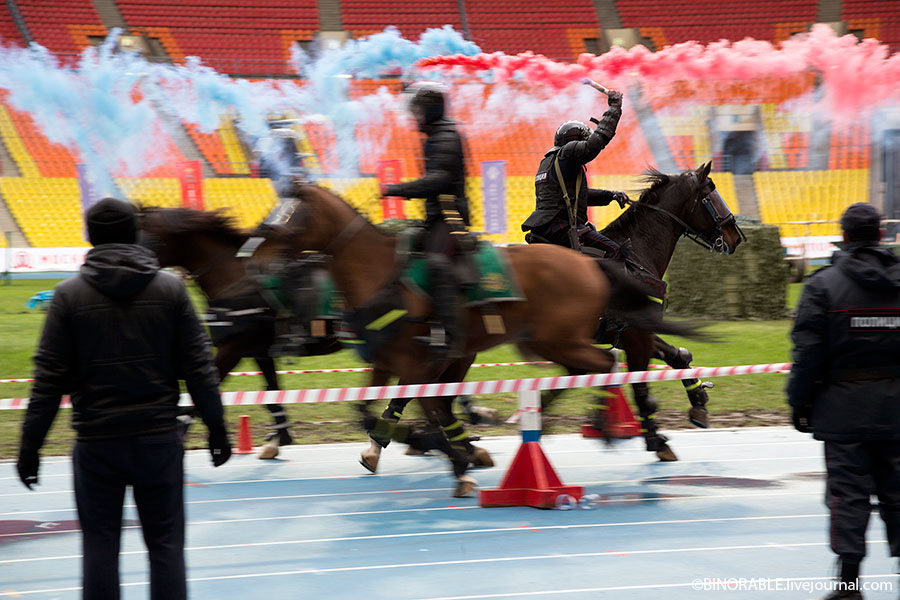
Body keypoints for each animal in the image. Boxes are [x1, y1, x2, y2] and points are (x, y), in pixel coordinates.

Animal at [137, 207, 344, 460]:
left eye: (148, 239)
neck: (235, 279)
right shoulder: (259, 351)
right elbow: (273, 390)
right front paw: (279, 438)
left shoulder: (233, 349)